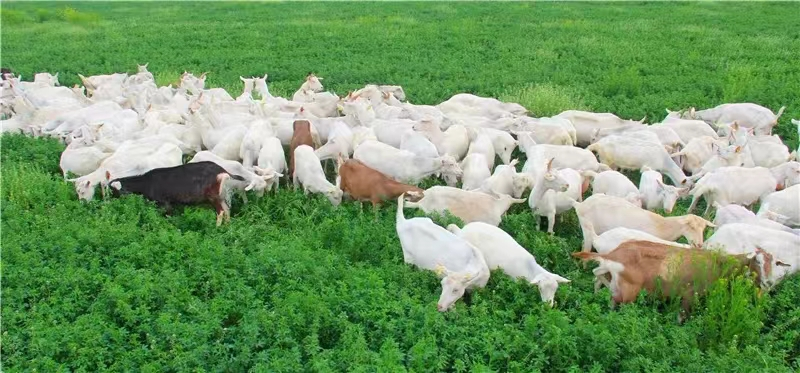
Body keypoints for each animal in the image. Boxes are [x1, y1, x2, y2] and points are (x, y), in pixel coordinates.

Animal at [572, 241, 772, 320]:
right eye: (757, 262)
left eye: (775, 263)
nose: (767, 283)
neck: (718, 263)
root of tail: (613, 255)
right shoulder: (690, 295)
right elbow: (681, 317)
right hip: (628, 291)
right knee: (615, 301)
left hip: (614, 279)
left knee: (600, 278)